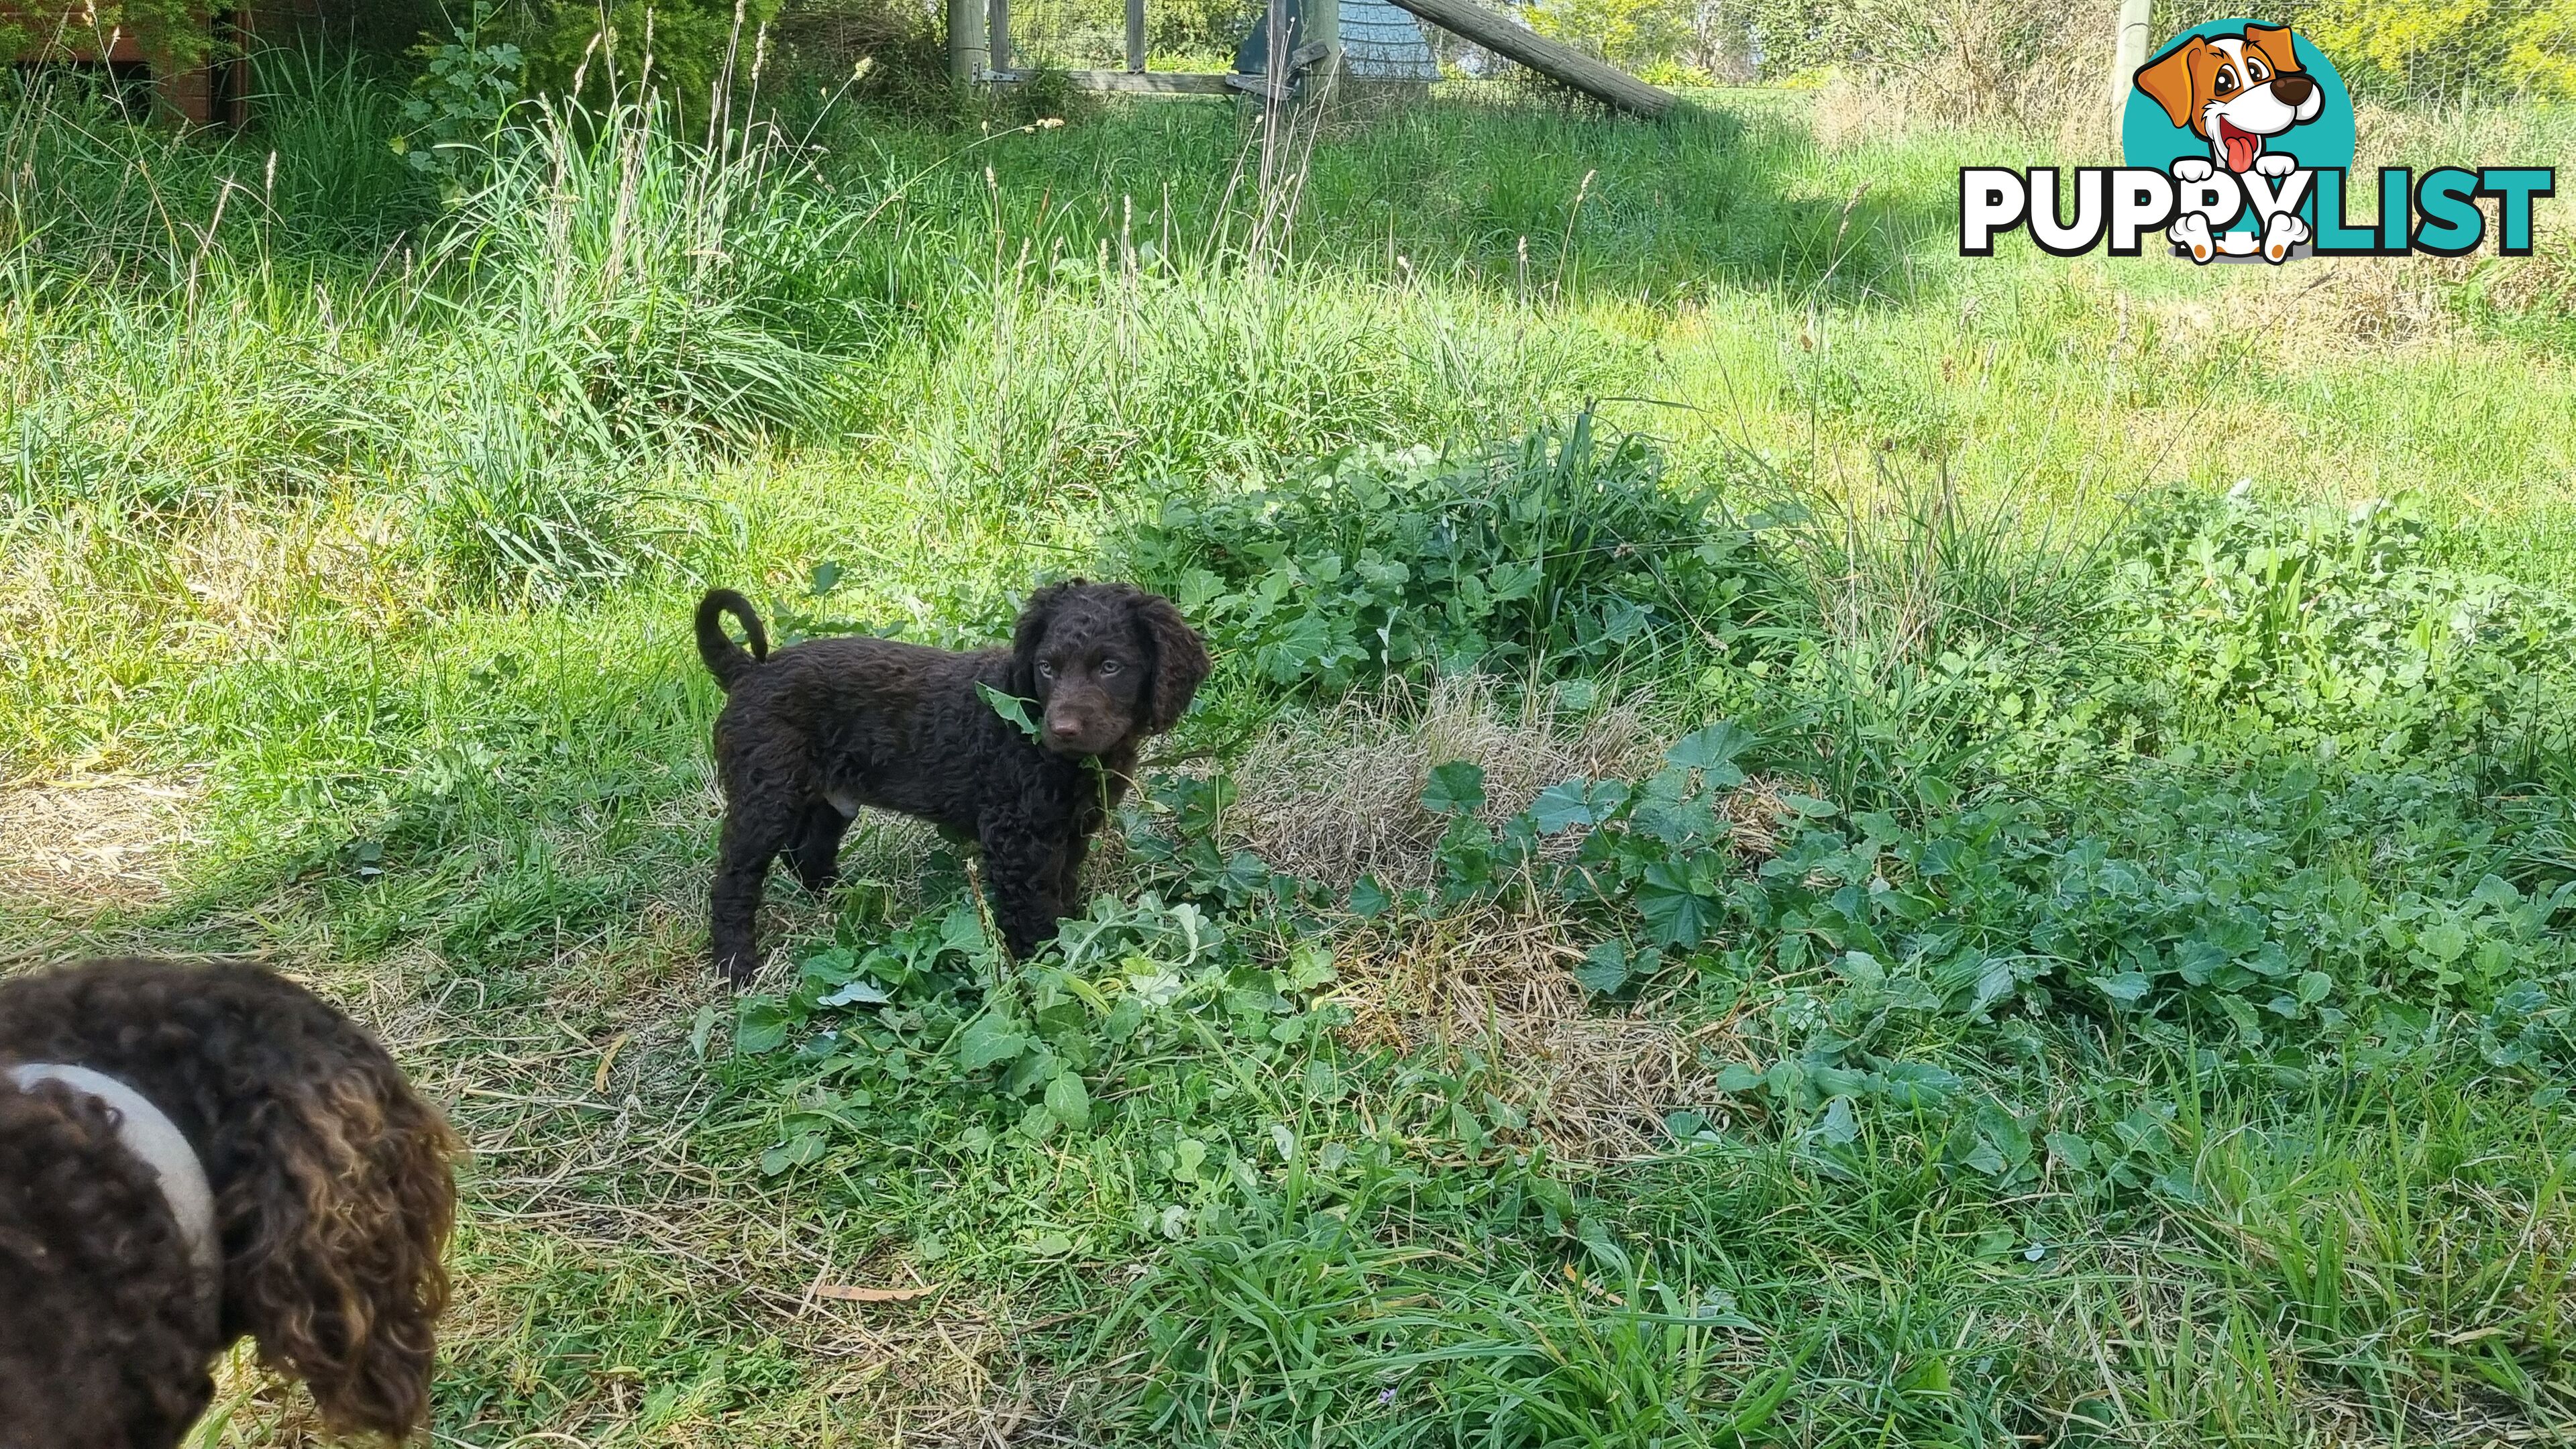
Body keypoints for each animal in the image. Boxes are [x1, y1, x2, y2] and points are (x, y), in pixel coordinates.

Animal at [695, 572, 1216, 969]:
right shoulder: (1017, 836)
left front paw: (1071, 932)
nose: (1062, 729)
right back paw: (736, 964)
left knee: (808, 854)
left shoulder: (1070, 830)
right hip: (766, 795)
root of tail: (749, 670)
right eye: (1046, 667)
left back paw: (849, 904)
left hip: (830, 798)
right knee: (734, 880)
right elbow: (1032, 906)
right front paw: (1043, 963)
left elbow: (1062, 888)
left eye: (1110, 666)